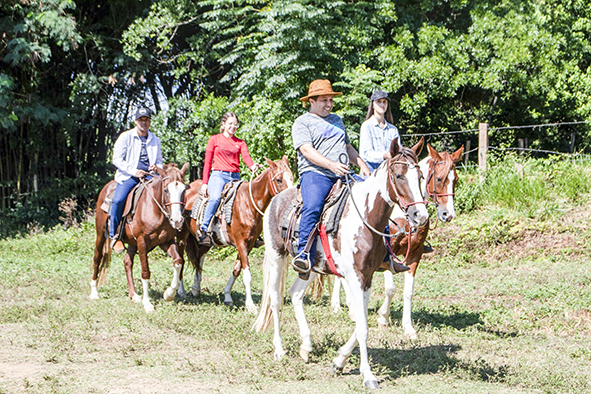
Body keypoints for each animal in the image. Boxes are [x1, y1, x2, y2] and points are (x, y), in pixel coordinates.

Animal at [89, 162, 190, 312]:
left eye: (183, 190)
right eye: (166, 190)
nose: (177, 220)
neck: (155, 209)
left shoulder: (166, 241)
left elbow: (178, 262)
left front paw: (169, 294)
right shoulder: (142, 242)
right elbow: (145, 272)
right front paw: (147, 303)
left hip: (132, 242)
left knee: (127, 262)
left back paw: (134, 295)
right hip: (101, 234)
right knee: (97, 257)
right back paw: (94, 292)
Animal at [177, 155, 294, 312]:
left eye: (291, 177)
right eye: (279, 180)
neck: (248, 203)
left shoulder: (249, 244)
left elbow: (237, 270)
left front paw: (227, 296)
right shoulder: (241, 243)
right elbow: (247, 274)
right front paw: (250, 305)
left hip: (206, 241)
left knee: (199, 258)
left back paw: (196, 288)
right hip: (182, 236)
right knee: (181, 260)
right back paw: (181, 291)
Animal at [252, 140, 428, 390]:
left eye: (420, 176)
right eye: (399, 175)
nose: (419, 215)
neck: (364, 218)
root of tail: (275, 200)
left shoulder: (367, 277)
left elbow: (361, 322)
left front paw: (339, 361)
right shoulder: (355, 277)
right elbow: (362, 327)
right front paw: (368, 376)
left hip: (309, 267)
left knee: (295, 294)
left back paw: (306, 346)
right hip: (277, 257)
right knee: (275, 300)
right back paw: (279, 349)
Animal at [330, 143, 464, 338]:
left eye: (456, 180)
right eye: (439, 179)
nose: (448, 214)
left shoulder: (416, 253)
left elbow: (408, 292)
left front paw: (408, 327)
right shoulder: (388, 253)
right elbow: (390, 288)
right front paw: (383, 318)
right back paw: (346, 307)